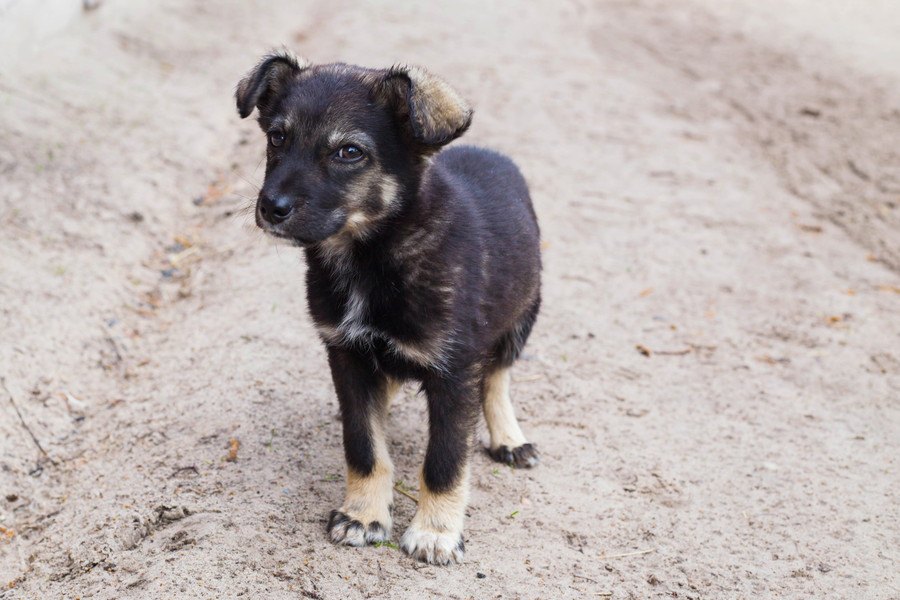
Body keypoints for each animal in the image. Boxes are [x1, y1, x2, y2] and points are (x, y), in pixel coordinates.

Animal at [234, 49, 540, 564]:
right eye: (277, 137)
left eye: (349, 152)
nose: (270, 207)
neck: (369, 257)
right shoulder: (347, 354)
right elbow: (363, 445)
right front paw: (363, 514)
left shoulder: (455, 371)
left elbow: (444, 460)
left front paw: (436, 531)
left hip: (523, 314)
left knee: (497, 377)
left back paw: (509, 438)